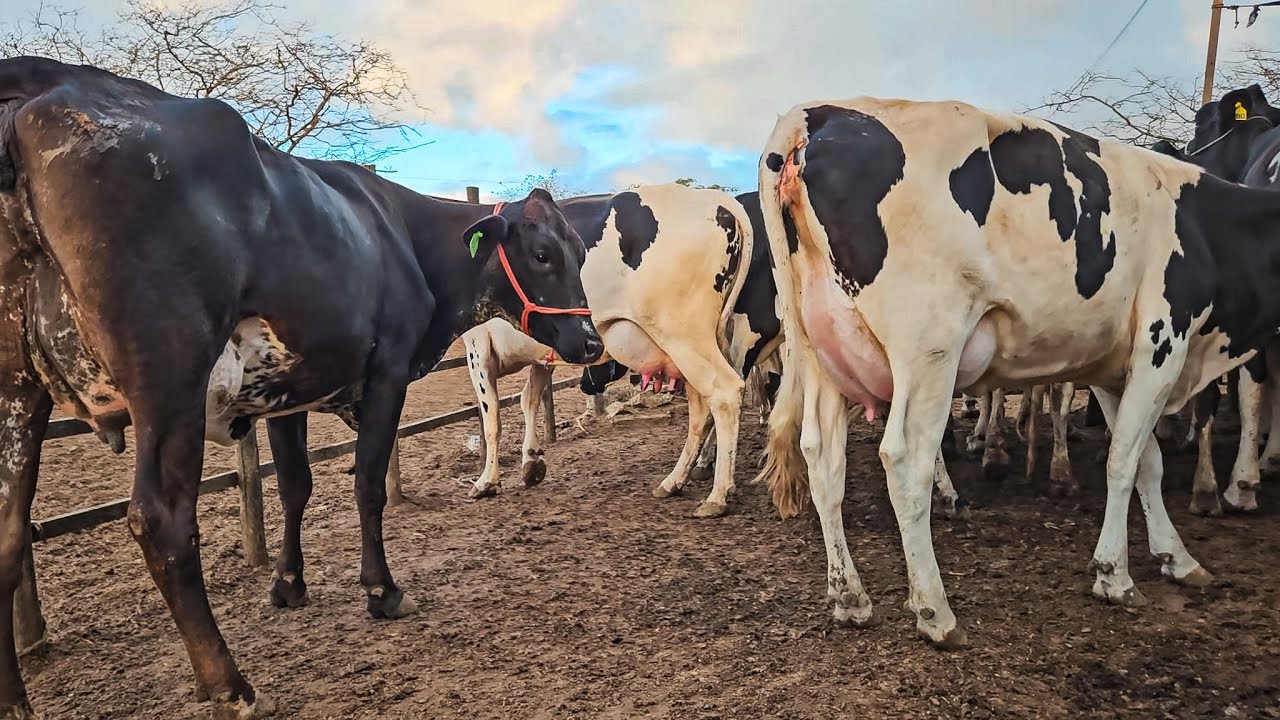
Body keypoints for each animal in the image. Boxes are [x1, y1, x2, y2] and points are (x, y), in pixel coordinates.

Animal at [0, 57, 602, 718]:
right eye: (542, 252)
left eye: (580, 250)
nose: (590, 342)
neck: (403, 236)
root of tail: (45, 82)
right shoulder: (386, 374)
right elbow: (368, 484)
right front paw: (381, 590)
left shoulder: (288, 391)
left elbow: (295, 485)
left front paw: (288, 582)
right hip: (169, 382)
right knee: (161, 519)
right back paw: (229, 685)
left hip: (17, 393)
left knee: (7, 537)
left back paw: (15, 701)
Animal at [750, 93, 1280, 649]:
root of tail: (818, 113)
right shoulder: (1163, 344)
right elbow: (1122, 462)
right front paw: (1114, 574)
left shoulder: (1115, 369)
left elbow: (1147, 463)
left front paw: (1176, 557)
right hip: (929, 349)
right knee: (906, 463)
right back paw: (935, 611)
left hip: (821, 353)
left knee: (822, 459)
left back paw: (849, 597)